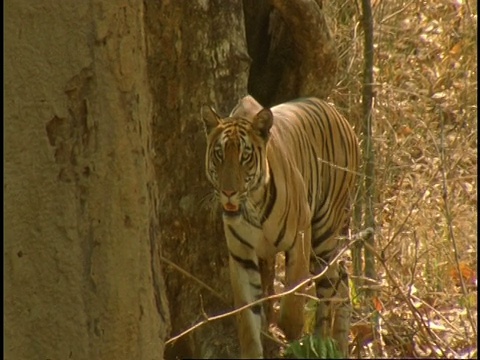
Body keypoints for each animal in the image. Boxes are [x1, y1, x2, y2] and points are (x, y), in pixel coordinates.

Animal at [200, 94, 360, 358]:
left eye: (245, 157)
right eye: (219, 154)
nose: (228, 192)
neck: (253, 206)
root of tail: (340, 116)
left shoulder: (300, 240)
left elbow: (291, 309)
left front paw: (293, 341)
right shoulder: (241, 256)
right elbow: (248, 323)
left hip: (324, 234)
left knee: (328, 291)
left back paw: (324, 343)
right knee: (343, 280)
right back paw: (339, 344)